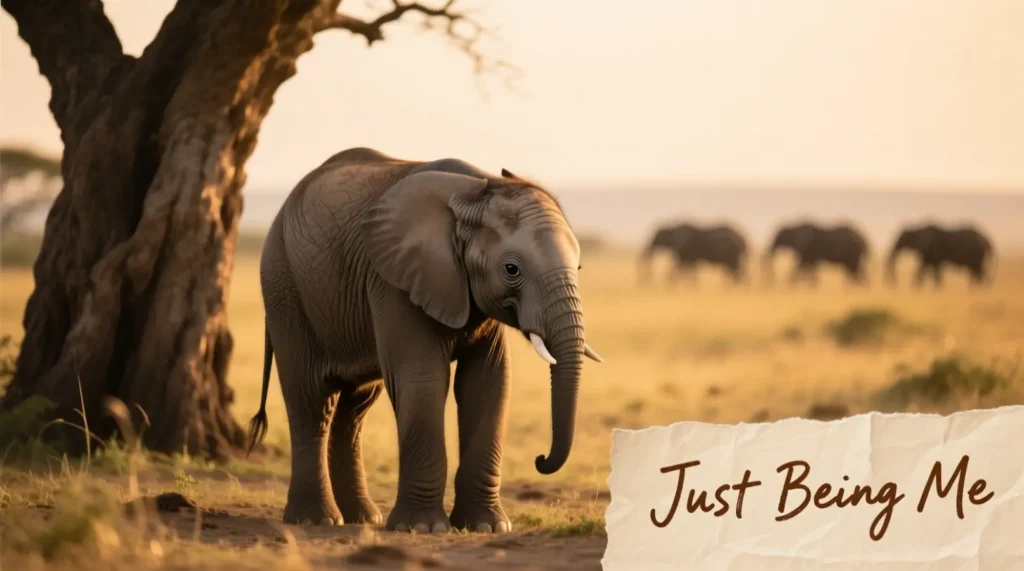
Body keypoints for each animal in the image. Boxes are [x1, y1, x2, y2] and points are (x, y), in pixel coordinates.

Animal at [246, 147, 602, 534]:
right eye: (512, 269)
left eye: (579, 269)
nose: (540, 458)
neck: (477, 190)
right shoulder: (394, 281)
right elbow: (423, 380)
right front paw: (422, 528)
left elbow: (488, 383)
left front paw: (487, 527)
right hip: (284, 286)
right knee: (312, 399)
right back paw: (316, 519)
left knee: (355, 406)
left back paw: (363, 517)